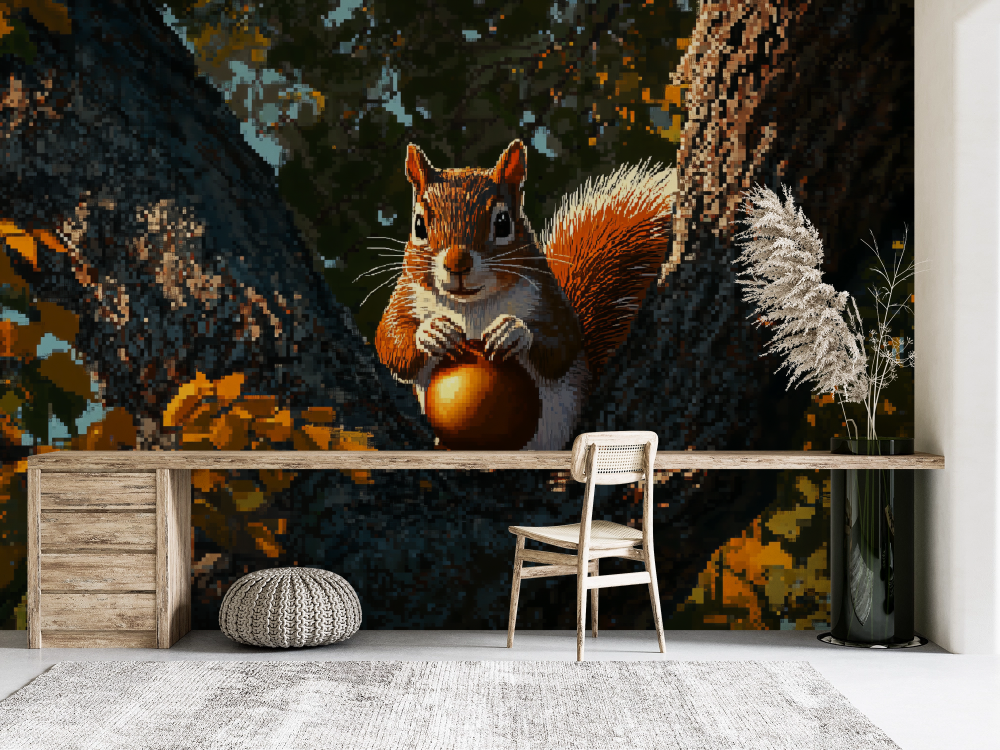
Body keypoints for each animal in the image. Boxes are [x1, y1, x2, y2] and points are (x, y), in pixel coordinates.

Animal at [375, 139, 674, 450]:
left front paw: (513, 332)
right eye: (419, 225)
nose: (458, 263)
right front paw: (433, 332)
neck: (470, 304)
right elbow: (390, 340)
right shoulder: (406, 294)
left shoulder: (547, 295)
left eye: (503, 223)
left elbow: (562, 341)